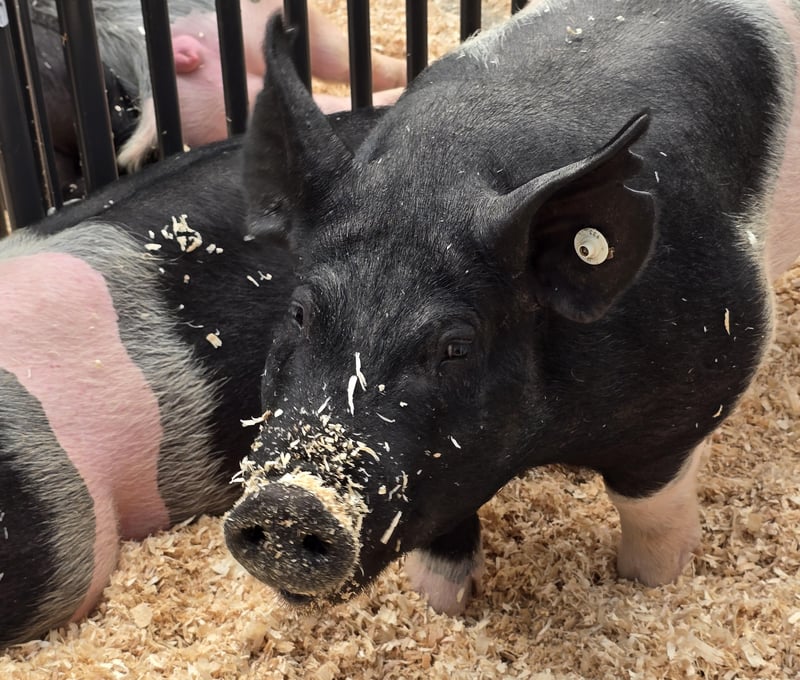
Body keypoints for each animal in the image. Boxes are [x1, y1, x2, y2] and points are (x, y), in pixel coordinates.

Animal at [223, 2, 800, 618]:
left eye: (457, 345)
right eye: (300, 314)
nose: (288, 505)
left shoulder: (697, 391)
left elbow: (651, 513)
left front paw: (654, 586)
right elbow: (444, 540)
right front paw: (440, 609)